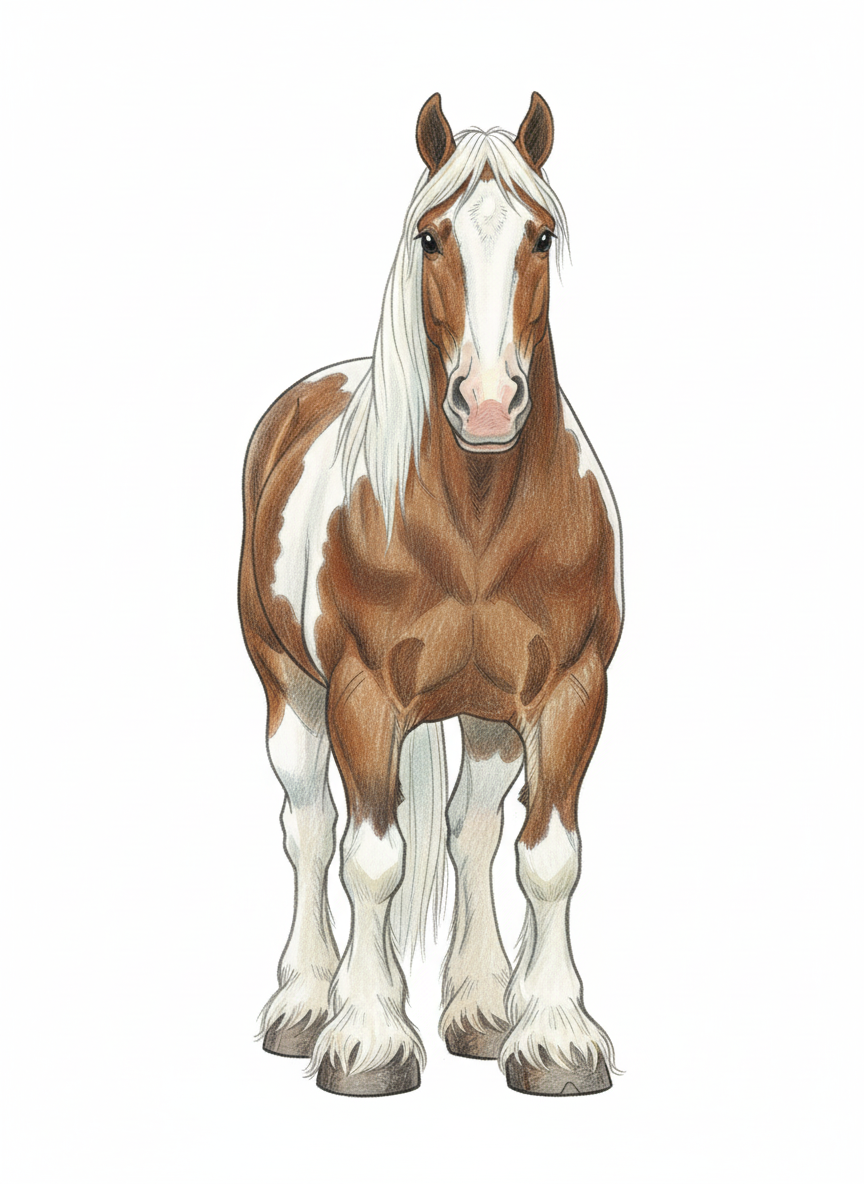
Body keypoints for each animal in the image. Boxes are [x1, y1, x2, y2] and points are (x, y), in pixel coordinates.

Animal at [239, 93, 623, 1097]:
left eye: (540, 235)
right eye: (429, 236)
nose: (486, 407)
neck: (476, 526)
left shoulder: (569, 693)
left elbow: (547, 859)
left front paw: (556, 1038)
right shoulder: (364, 698)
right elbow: (371, 860)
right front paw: (367, 1039)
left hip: (488, 718)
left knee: (472, 831)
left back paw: (482, 1008)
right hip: (290, 692)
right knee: (309, 829)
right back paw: (303, 1005)